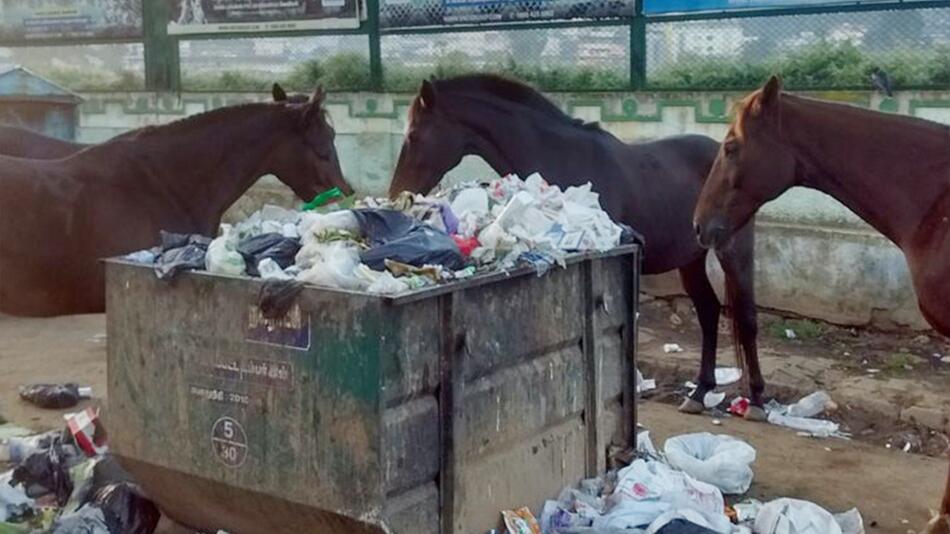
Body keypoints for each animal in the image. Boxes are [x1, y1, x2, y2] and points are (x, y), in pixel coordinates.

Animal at [386, 75, 768, 418]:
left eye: (414, 134)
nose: (397, 192)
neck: (561, 159)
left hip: (733, 251)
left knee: (745, 317)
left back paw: (757, 401)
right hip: (690, 258)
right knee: (708, 312)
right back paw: (700, 391)